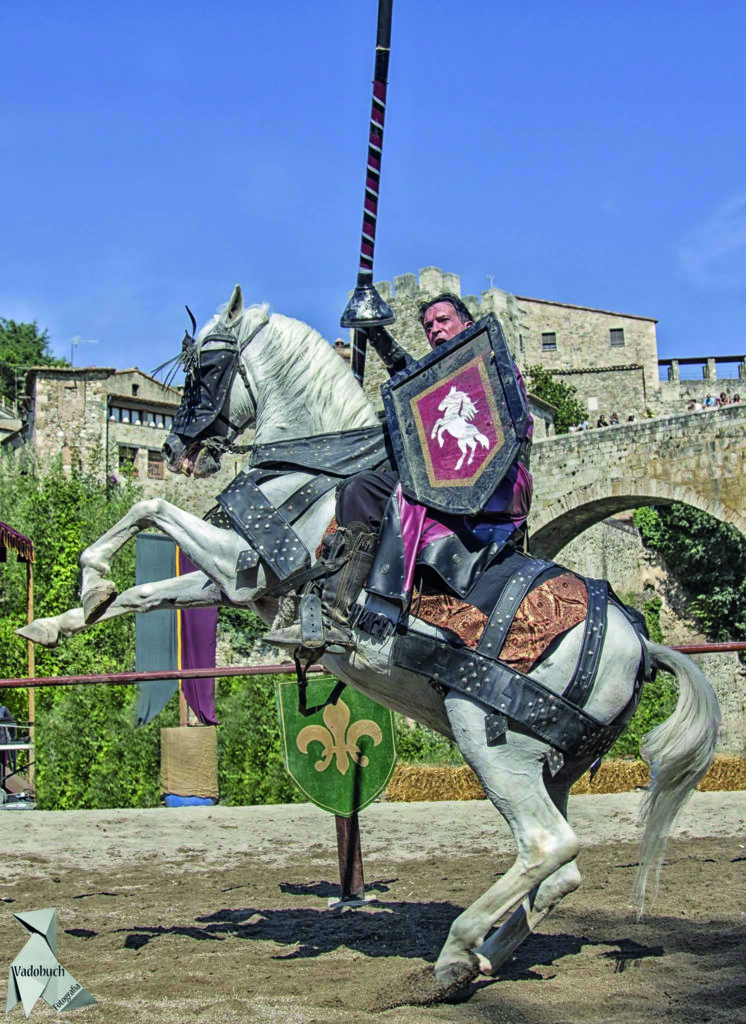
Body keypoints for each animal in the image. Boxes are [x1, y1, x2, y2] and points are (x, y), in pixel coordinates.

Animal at [20, 282, 720, 999]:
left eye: (206, 367)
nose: (180, 445)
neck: (314, 464)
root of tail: (637, 644)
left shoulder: (248, 562)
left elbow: (148, 509)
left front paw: (90, 577)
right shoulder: (231, 581)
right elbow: (142, 590)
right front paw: (66, 614)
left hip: (489, 739)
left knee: (548, 847)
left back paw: (455, 951)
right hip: (548, 766)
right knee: (561, 871)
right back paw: (480, 961)